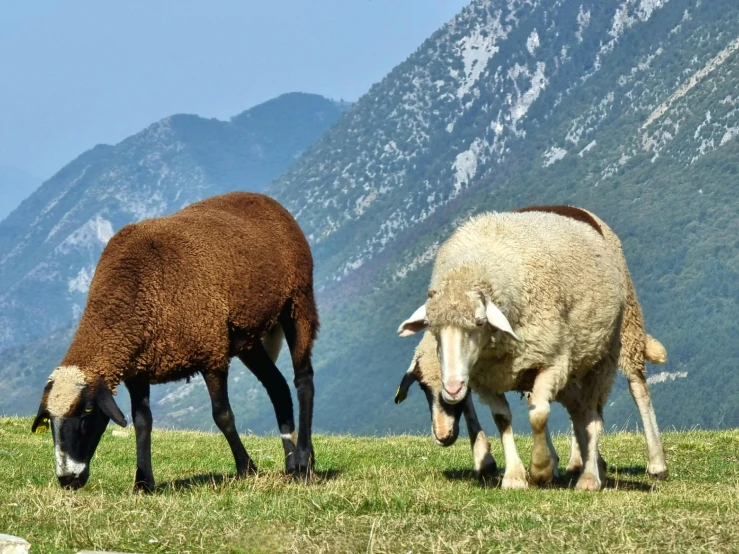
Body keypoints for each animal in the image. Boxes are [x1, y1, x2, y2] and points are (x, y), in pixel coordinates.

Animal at [31, 192, 318, 490]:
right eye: (50, 421)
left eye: (88, 412)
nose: (67, 480)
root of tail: (264, 199)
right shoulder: (138, 369)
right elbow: (142, 421)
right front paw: (143, 483)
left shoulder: (211, 352)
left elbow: (222, 415)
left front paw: (246, 468)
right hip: (247, 338)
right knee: (277, 386)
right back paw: (291, 464)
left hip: (298, 300)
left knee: (303, 380)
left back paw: (304, 464)